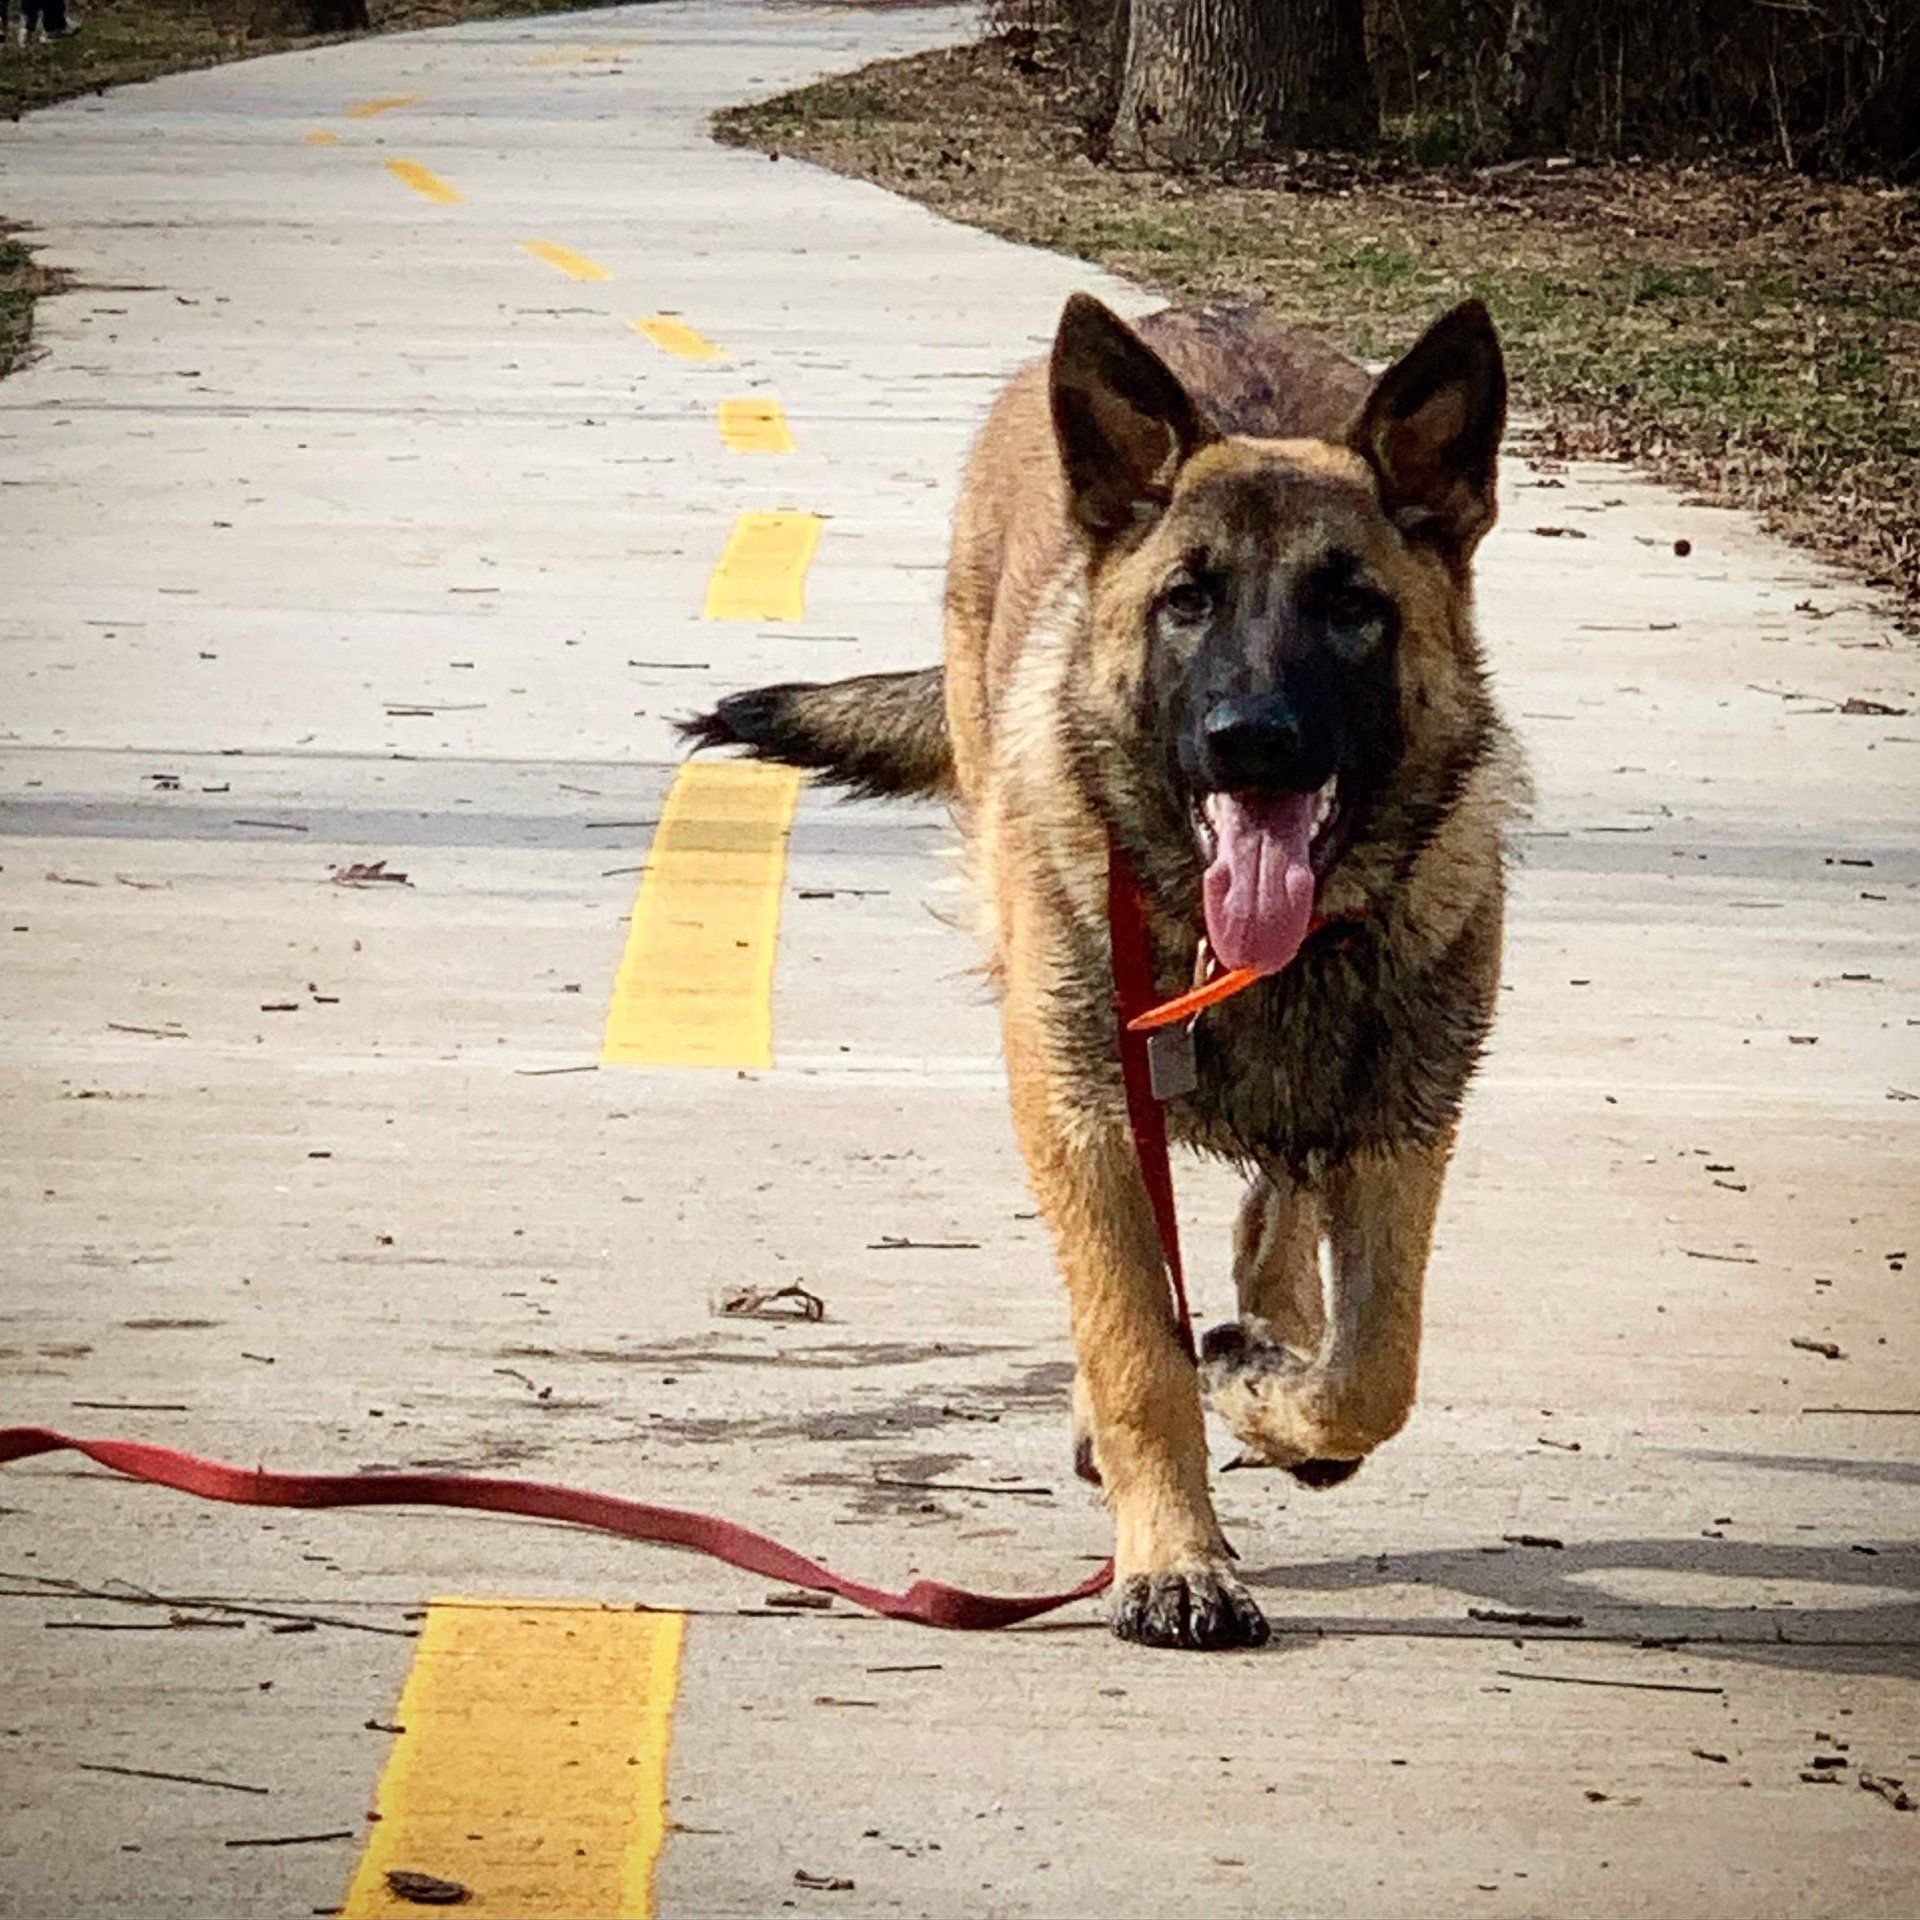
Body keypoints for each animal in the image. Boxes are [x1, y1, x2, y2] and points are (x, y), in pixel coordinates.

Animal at [685, 295, 1525, 1649]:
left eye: (1353, 607)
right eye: (1186, 601)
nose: (1254, 743)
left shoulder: (1405, 1128)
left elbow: (1374, 1369)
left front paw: (1270, 1390)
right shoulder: (1083, 1113)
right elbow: (1135, 1347)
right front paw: (1173, 1555)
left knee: (1281, 1228)